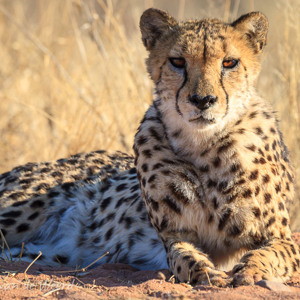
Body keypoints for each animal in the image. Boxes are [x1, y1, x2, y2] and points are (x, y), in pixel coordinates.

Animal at [0, 8, 300, 286]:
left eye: (230, 62)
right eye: (177, 61)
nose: (202, 100)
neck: (204, 147)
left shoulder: (282, 237)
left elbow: (267, 254)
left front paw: (251, 271)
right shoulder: (174, 235)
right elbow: (185, 258)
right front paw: (206, 273)